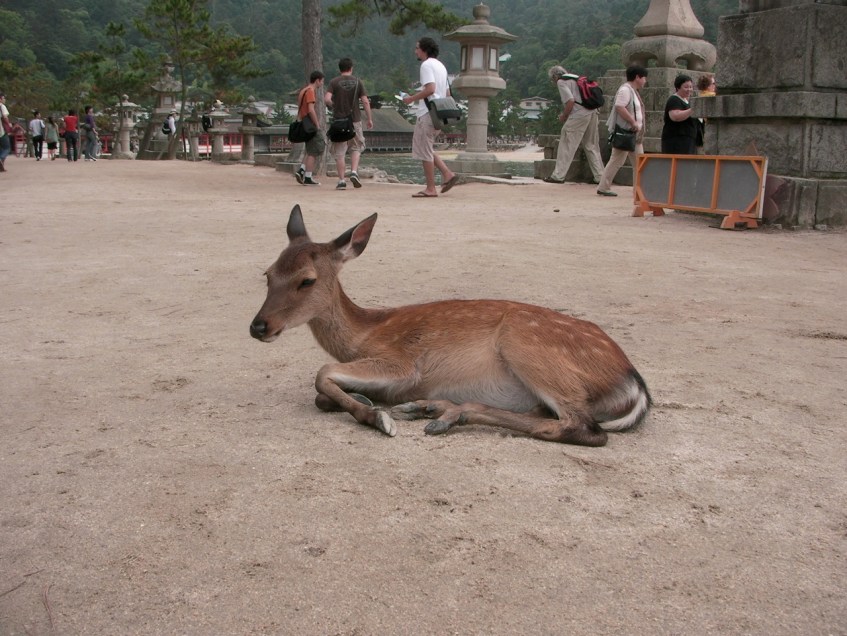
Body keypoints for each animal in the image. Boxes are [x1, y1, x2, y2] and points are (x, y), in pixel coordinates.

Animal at [249, 205, 651, 447]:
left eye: (306, 280)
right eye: (267, 274)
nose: (258, 326)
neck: (365, 333)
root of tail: (635, 384)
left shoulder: (402, 363)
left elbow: (321, 373)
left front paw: (377, 417)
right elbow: (321, 393)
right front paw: (367, 402)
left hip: (527, 344)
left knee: (584, 427)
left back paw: (442, 415)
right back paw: (431, 409)